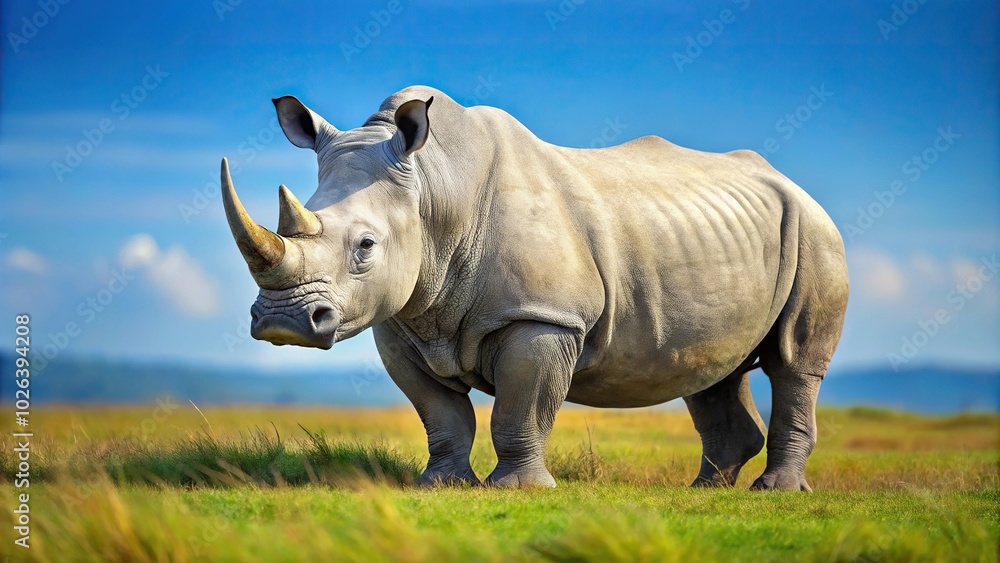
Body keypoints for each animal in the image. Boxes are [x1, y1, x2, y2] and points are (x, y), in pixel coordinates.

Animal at [220, 86, 849, 490]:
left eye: (366, 247)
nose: (283, 322)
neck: (434, 193)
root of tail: (791, 185)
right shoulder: (402, 322)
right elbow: (441, 415)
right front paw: (440, 486)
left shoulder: (541, 316)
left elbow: (519, 407)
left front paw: (519, 489)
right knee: (712, 366)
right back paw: (707, 490)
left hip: (815, 231)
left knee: (793, 362)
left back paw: (775, 492)